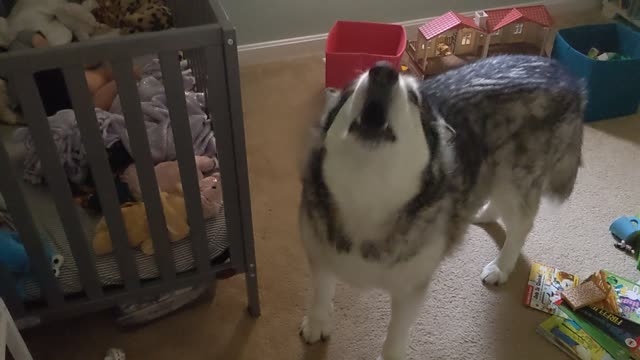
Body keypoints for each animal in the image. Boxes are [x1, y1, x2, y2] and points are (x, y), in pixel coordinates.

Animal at [298, 54, 584, 358]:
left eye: (414, 97)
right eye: (353, 88)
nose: (383, 72)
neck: (367, 194)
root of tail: (563, 73)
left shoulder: (410, 289)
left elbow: (396, 331)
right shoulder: (318, 252)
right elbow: (322, 290)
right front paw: (317, 322)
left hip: (515, 179)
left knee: (521, 225)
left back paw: (502, 266)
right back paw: (483, 213)